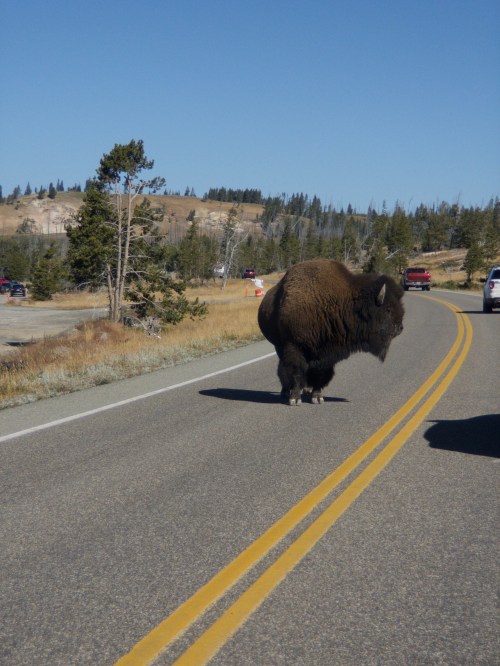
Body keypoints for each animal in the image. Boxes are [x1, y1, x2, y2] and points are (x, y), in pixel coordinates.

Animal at [258, 259, 404, 405]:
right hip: (279, 346)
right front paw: (295, 398)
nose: (400, 328)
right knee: (283, 368)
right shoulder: (294, 346)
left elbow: (320, 374)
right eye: (388, 309)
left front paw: (317, 397)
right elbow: (295, 371)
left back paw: (305, 390)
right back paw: (285, 392)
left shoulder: (327, 354)